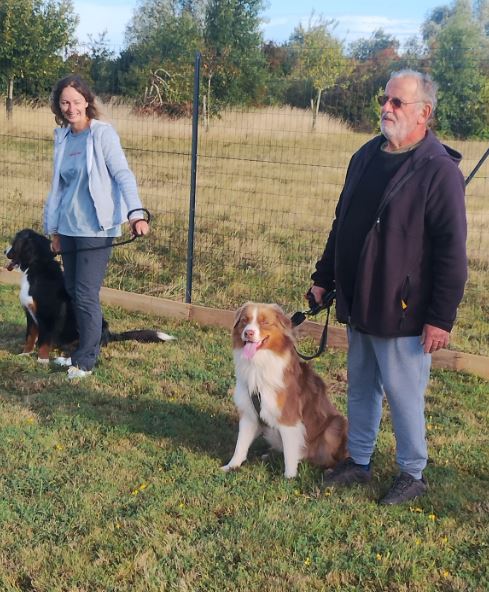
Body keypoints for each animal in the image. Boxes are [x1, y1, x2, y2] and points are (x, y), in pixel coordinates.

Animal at [4, 228, 175, 362]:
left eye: (15, 243)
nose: (5, 251)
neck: (36, 268)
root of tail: (109, 334)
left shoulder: (48, 315)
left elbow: (44, 340)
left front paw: (42, 359)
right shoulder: (30, 314)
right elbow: (30, 336)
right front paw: (25, 353)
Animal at [222, 302, 348, 478]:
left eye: (264, 322)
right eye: (245, 320)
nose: (248, 332)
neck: (259, 363)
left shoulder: (289, 419)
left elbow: (290, 453)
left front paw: (289, 478)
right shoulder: (249, 415)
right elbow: (240, 445)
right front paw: (231, 466)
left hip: (334, 426)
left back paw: (330, 469)